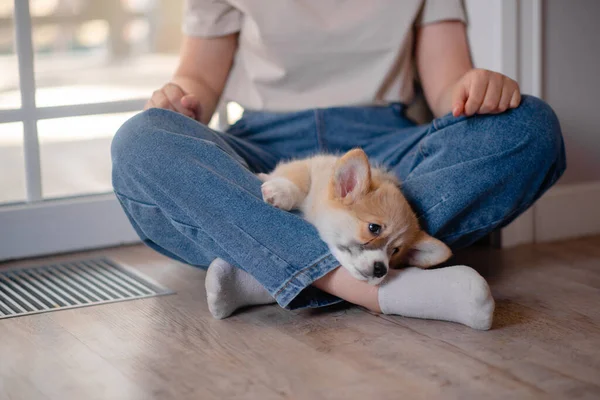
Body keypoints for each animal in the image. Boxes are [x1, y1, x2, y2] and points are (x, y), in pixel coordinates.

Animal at [258, 148, 450, 286]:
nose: (381, 270)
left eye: (395, 251)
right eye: (374, 228)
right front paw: (280, 190)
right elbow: (298, 178)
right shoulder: (308, 167)